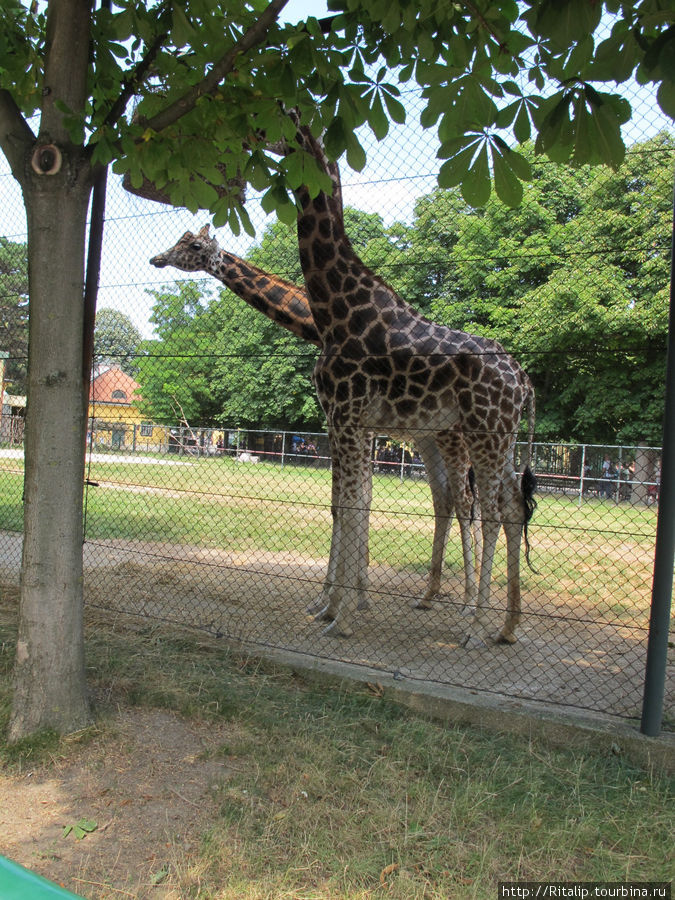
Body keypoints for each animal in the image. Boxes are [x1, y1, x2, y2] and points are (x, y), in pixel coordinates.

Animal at [282, 119, 536, 644]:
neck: (335, 310)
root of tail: (522, 379)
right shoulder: (346, 421)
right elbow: (349, 505)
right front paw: (334, 608)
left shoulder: (346, 416)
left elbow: (351, 506)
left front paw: (340, 616)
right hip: (499, 436)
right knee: (509, 507)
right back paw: (506, 627)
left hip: (482, 432)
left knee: (490, 509)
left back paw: (474, 626)